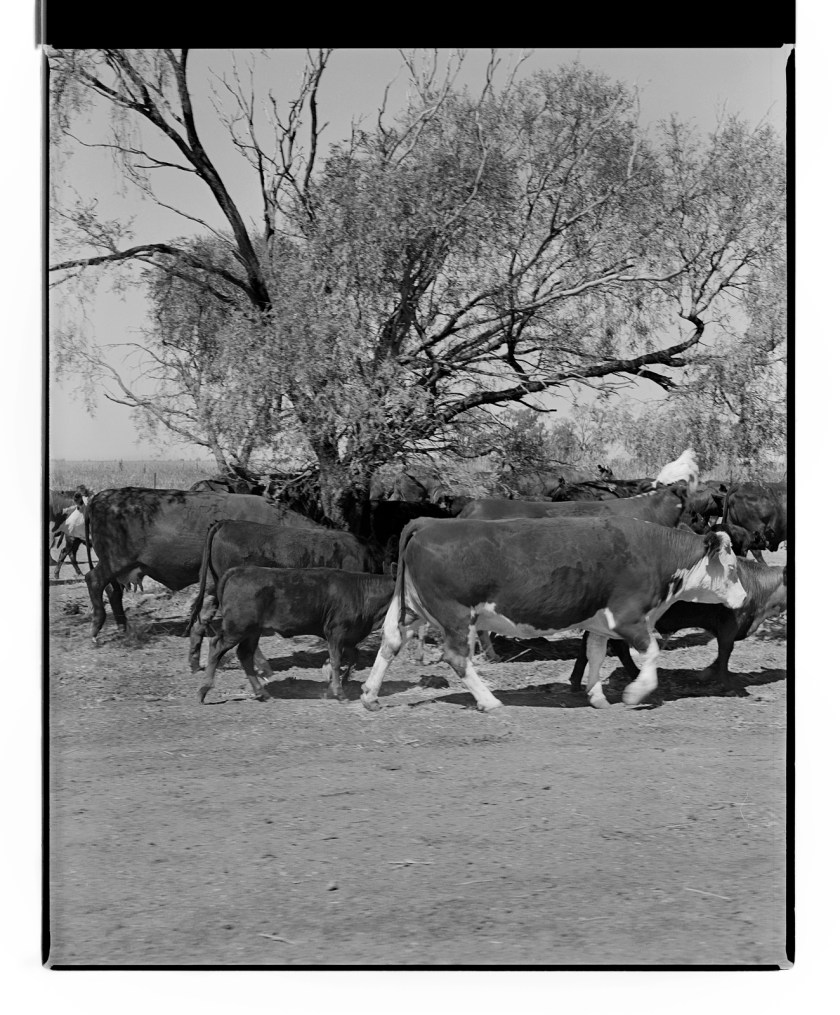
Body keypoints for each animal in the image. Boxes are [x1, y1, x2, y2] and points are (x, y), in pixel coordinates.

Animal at [83, 487, 322, 642]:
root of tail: (101, 496)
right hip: (113, 562)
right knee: (94, 581)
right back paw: (96, 628)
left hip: (117, 568)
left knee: (113, 593)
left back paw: (123, 627)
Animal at [197, 566, 395, 704]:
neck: (362, 593)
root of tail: (240, 569)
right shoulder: (336, 632)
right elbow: (336, 661)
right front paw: (338, 691)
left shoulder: (349, 638)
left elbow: (353, 657)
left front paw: (336, 683)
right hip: (237, 628)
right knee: (216, 646)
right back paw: (203, 690)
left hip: (252, 631)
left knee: (245, 654)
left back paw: (263, 693)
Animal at [359, 516, 746, 713]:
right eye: (730, 567)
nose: (742, 598)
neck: (655, 553)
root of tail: (428, 523)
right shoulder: (628, 617)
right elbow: (650, 653)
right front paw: (636, 693)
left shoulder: (601, 622)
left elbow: (595, 654)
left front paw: (597, 696)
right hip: (455, 614)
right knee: (456, 657)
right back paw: (489, 700)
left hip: (415, 608)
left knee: (390, 641)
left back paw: (370, 695)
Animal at [569, 560, 787, 694]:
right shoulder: (729, 626)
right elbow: (725, 654)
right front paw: (728, 684)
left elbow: (720, 656)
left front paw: (706, 673)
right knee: (616, 646)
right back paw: (635, 675)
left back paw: (577, 681)